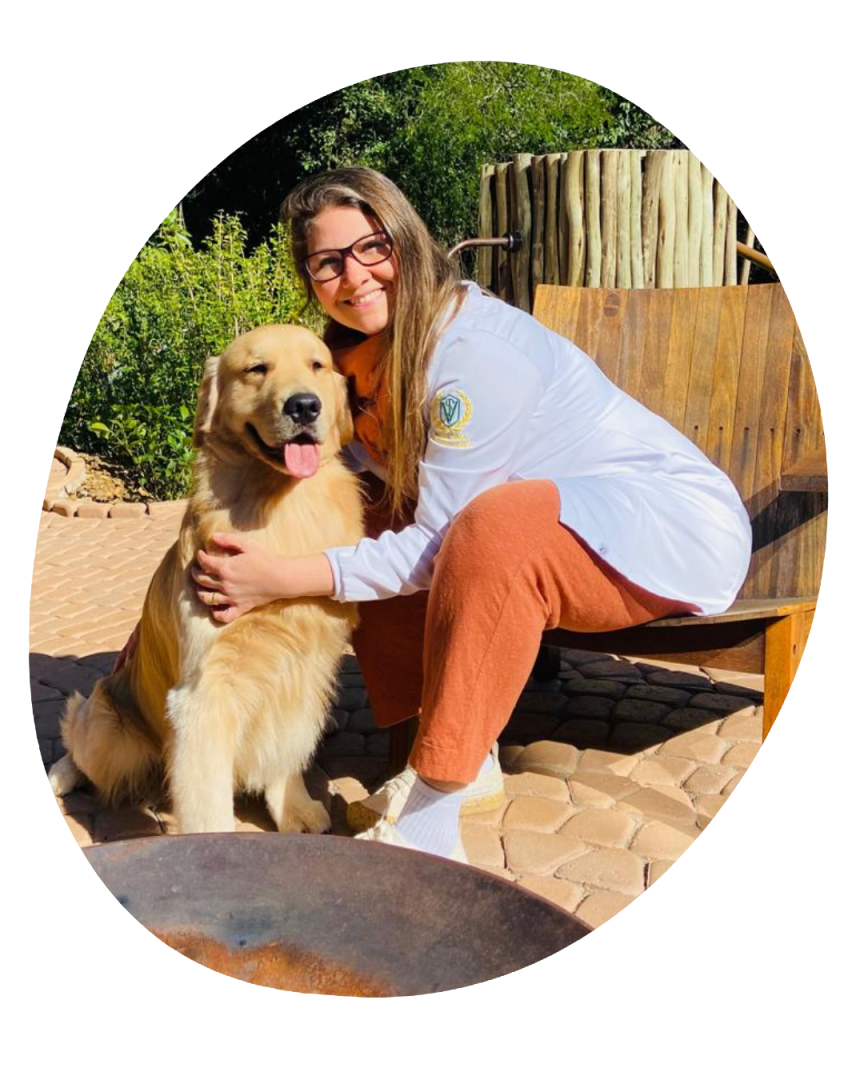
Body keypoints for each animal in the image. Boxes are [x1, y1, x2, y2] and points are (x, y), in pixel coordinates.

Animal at [48, 325, 364, 834]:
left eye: (317, 365)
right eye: (257, 368)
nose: (304, 406)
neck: (276, 506)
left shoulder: (301, 674)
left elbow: (286, 753)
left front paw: (294, 810)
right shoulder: (204, 694)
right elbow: (207, 801)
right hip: (109, 726)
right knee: (77, 740)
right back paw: (61, 773)